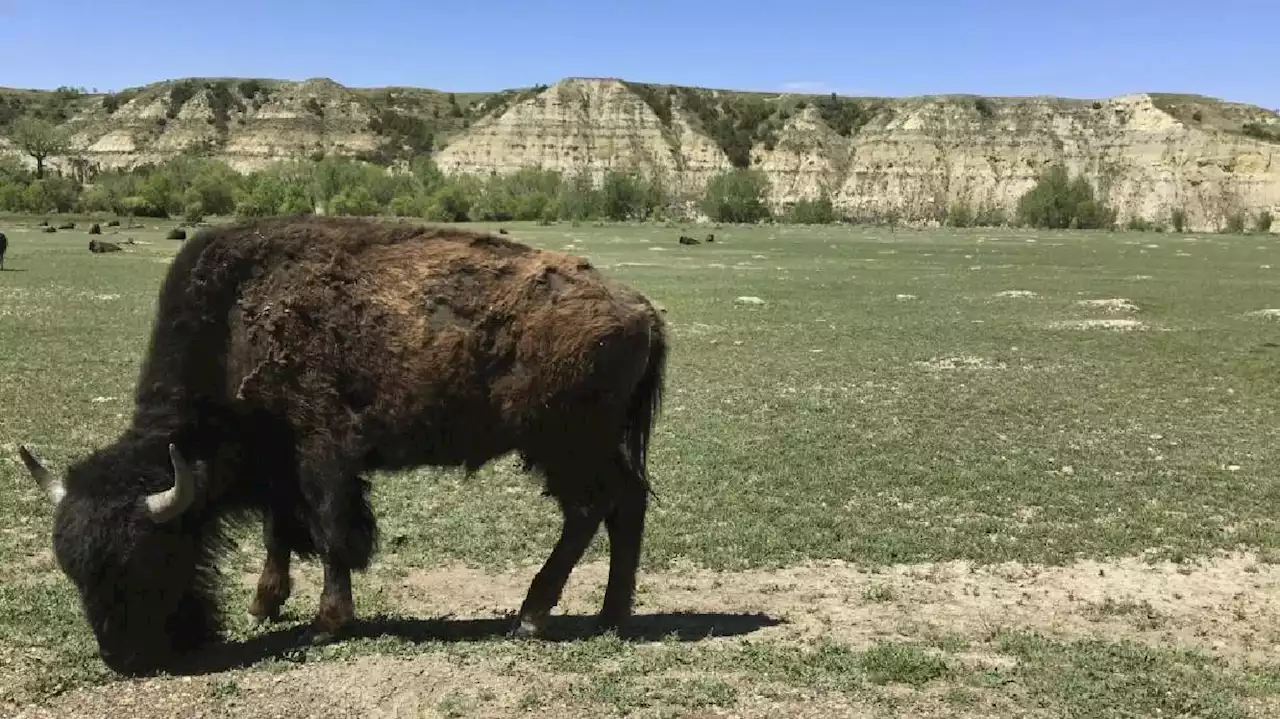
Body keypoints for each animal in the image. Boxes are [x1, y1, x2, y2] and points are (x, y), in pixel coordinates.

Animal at [20, 214, 670, 675]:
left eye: (148, 557)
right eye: (73, 571)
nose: (124, 659)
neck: (234, 323)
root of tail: (643, 310)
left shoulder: (322, 456)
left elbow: (331, 535)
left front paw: (326, 623)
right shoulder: (280, 467)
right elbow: (282, 532)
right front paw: (264, 604)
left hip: (563, 444)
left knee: (593, 509)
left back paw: (534, 617)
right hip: (585, 445)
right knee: (625, 504)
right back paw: (611, 615)